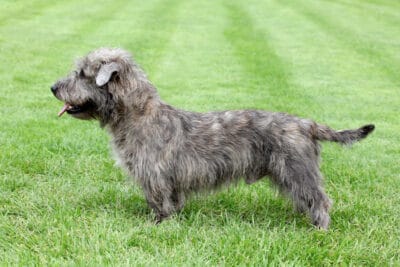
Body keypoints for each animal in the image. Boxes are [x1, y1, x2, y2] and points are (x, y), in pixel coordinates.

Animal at [50, 47, 376, 229]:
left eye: (82, 74)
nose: (53, 88)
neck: (137, 114)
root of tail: (306, 123)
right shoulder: (169, 179)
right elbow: (172, 200)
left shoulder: (154, 175)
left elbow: (158, 201)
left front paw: (158, 225)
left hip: (297, 170)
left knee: (320, 199)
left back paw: (319, 228)